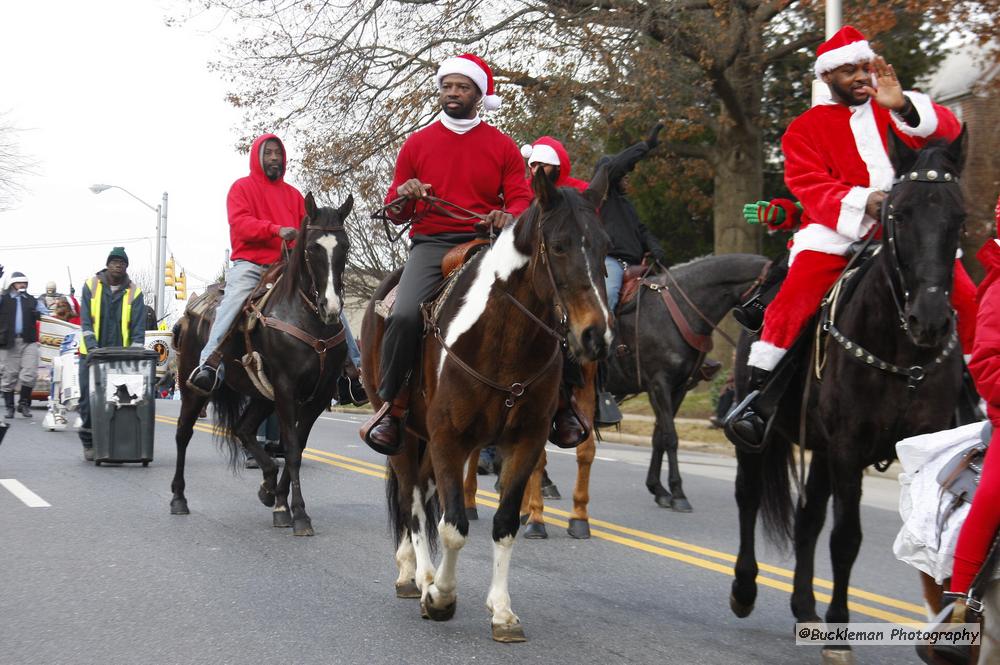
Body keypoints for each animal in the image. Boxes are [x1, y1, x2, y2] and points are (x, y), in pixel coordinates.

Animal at [166, 192, 350, 536]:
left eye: (344, 246)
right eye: (312, 248)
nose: (331, 307)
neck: (307, 319)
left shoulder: (317, 396)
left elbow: (297, 447)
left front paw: (279, 502)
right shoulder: (286, 388)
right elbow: (291, 449)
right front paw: (298, 513)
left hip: (261, 396)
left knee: (244, 429)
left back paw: (266, 485)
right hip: (192, 387)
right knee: (183, 434)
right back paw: (178, 498)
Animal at [360, 169, 608, 640]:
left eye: (605, 250)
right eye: (560, 245)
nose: (595, 335)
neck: (504, 337)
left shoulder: (525, 441)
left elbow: (505, 524)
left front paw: (502, 612)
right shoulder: (449, 438)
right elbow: (453, 526)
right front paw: (441, 597)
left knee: (423, 493)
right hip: (404, 437)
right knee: (412, 502)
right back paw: (416, 577)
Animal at [728, 130, 968, 664]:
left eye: (959, 216)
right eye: (899, 213)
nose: (930, 320)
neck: (904, 352)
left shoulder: (913, 447)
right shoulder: (848, 448)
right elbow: (846, 538)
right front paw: (840, 629)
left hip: (819, 448)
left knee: (807, 517)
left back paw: (803, 605)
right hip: (764, 439)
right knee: (750, 497)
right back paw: (745, 588)